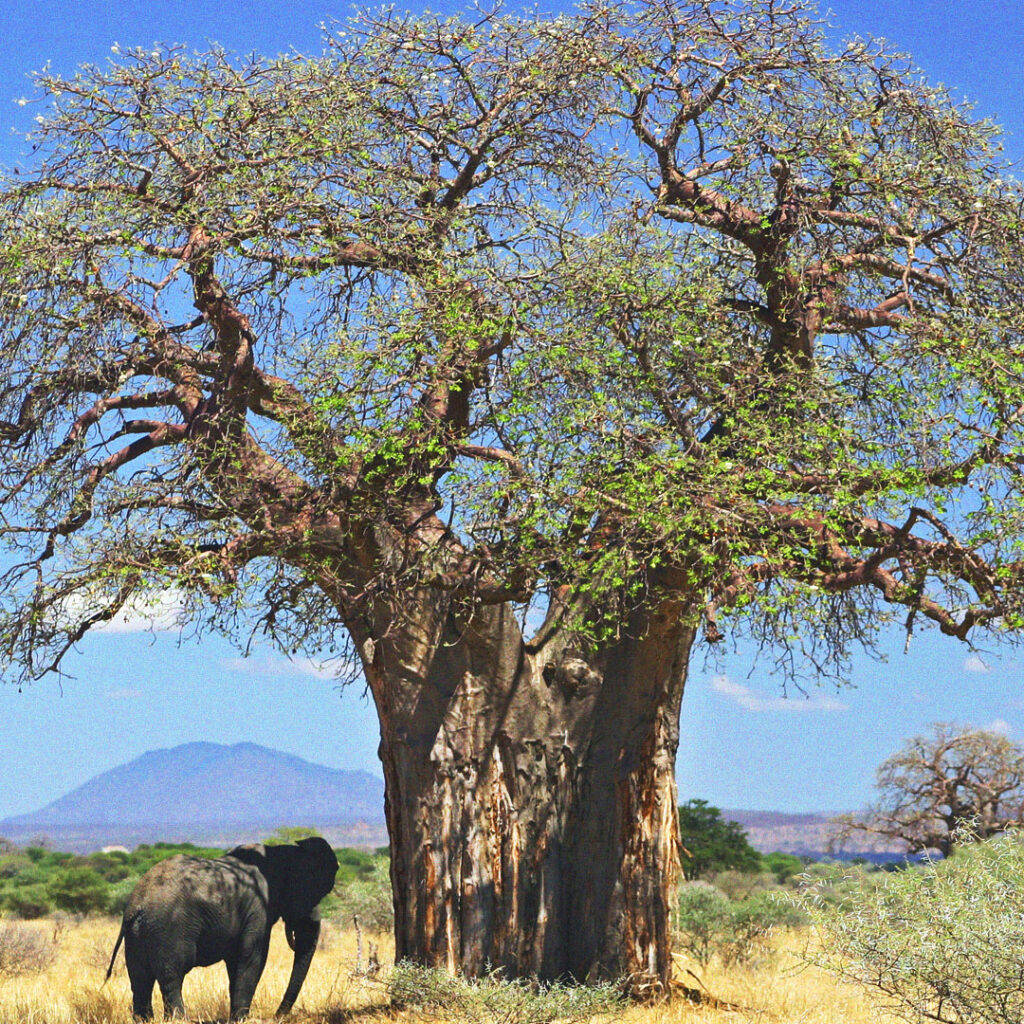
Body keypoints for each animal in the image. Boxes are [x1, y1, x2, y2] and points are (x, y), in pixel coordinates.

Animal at [105, 836, 339, 1020]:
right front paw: (242, 1019)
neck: (279, 852)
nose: (277, 1016)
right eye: (310, 894)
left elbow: (236, 962)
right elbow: (253, 958)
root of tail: (136, 905)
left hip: (137, 934)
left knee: (139, 979)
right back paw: (178, 1019)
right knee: (172, 976)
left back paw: (145, 1019)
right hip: (168, 928)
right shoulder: (257, 908)